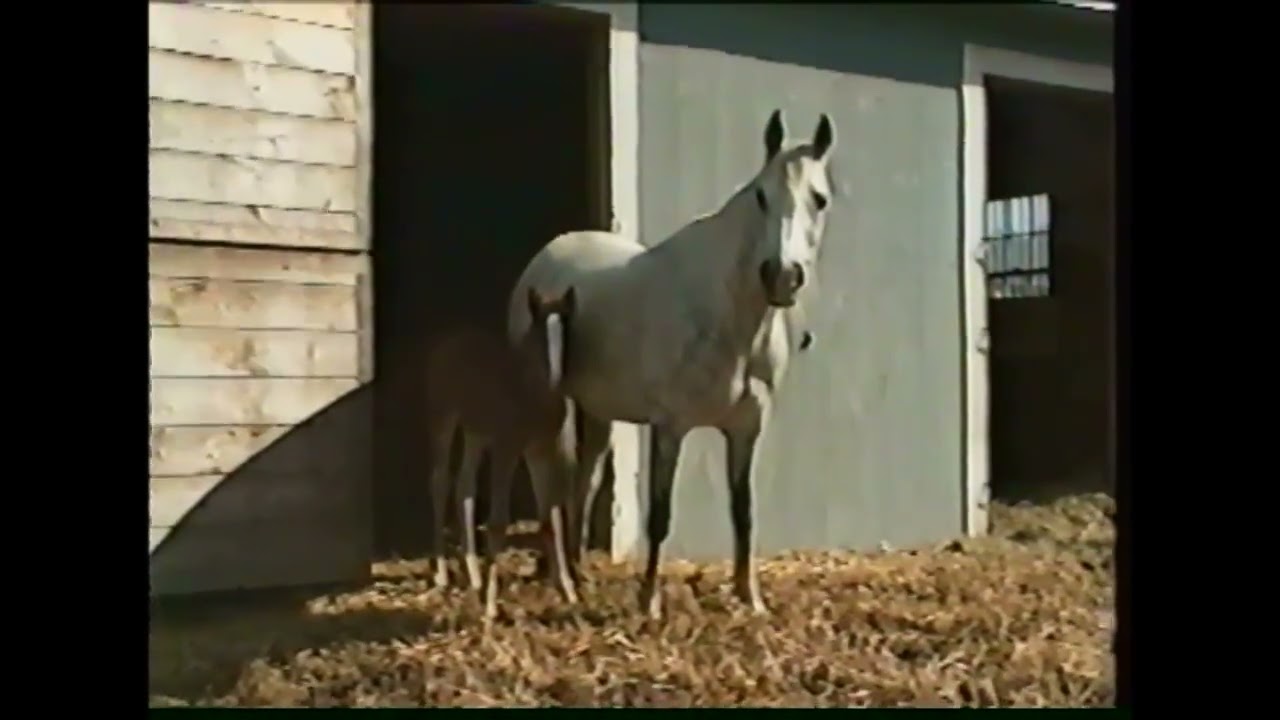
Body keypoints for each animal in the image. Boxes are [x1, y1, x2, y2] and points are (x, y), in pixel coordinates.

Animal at [423, 286, 580, 619]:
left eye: (567, 332)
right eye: (539, 333)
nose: (556, 379)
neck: (533, 394)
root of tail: (450, 339)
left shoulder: (541, 451)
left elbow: (552, 518)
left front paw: (570, 593)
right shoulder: (506, 448)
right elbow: (498, 521)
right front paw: (491, 604)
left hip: (475, 433)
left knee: (465, 489)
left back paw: (473, 576)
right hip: (443, 419)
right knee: (440, 482)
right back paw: (442, 574)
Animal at [508, 109, 837, 619]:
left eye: (819, 199)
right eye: (761, 195)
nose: (781, 276)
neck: (727, 318)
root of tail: (548, 256)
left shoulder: (747, 428)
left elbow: (743, 512)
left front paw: (750, 597)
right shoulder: (671, 427)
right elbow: (659, 515)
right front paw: (649, 602)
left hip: (598, 410)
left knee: (586, 476)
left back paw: (578, 573)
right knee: (549, 481)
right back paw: (561, 577)